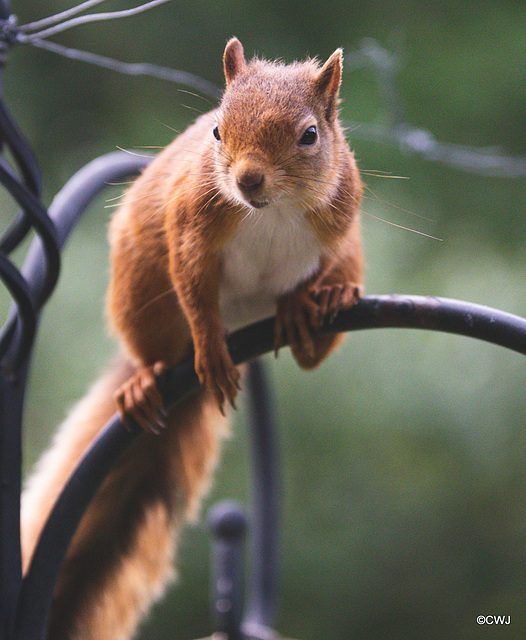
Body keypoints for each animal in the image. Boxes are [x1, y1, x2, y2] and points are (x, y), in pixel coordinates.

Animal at [22, 38, 366, 640]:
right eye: (217, 131)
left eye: (309, 135)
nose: (248, 180)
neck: (270, 213)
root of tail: (244, 327)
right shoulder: (190, 227)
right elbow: (196, 293)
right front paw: (210, 351)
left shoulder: (337, 228)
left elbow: (309, 276)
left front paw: (301, 305)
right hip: (142, 292)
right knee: (158, 352)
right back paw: (149, 382)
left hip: (349, 259)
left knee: (311, 349)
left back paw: (328, 306)